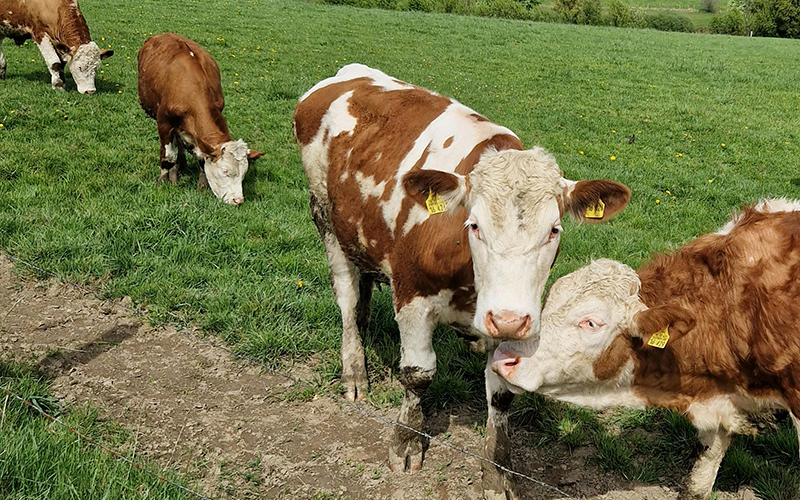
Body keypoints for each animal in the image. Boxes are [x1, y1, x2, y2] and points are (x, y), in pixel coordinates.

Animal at [137, 33, 264, 205]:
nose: (238, 200)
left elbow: (202, 160)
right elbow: (168, 157)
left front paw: (202, 187)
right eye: (225, 171)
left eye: (244, 173)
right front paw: (162, 182)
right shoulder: (164, 124)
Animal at [293, 63, 631, 499]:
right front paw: (406, 441)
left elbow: (501, 395)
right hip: (325, 218)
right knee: (349, 302)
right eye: (473, 225)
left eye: (554, 230)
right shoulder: (412, 296)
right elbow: (418, 374)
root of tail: (349, 73)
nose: (507, 319)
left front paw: (498, 474)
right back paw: (355, 371)